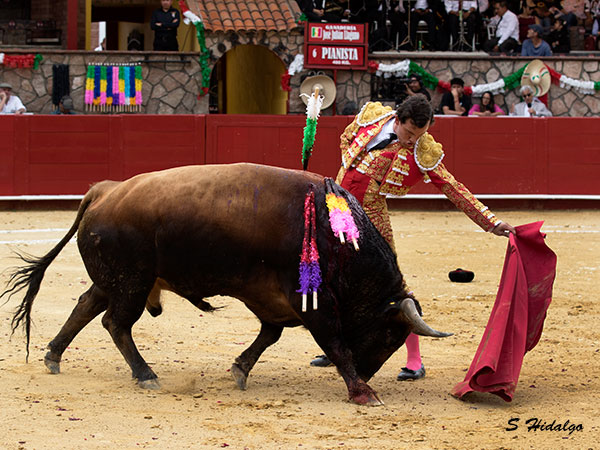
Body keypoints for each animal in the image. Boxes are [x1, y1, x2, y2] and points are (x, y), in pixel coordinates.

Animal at [2, 163, 448, 406]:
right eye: (390, 334)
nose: (369, 372)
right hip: (132, 281)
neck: (335, 235)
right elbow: (334, 343)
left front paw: (238, 370)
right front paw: (362, 392)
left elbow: (269, 336)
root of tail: (104, 191)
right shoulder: (313, 302)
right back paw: (145, 374)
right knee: (116, 323)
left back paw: (53, 356)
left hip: (114, 278)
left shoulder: (274, 300)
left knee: (85, 305)